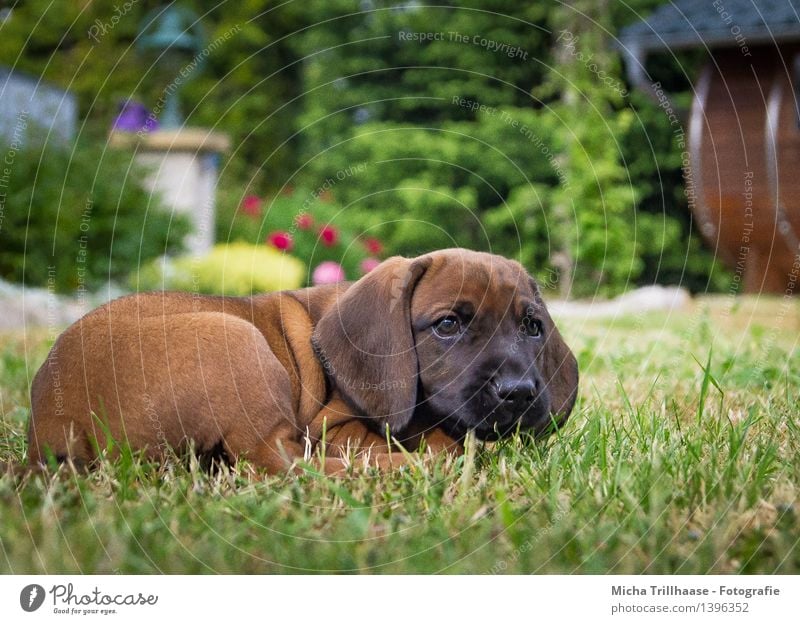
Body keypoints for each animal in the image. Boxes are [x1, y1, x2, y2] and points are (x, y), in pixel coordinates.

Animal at [28, 249, 580, 472]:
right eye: (448, 325)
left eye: (532, 327)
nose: (519, 394)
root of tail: (52, 426)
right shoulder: (334, 427)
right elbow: (437, 438)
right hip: (236, 339)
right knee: (278, 464)